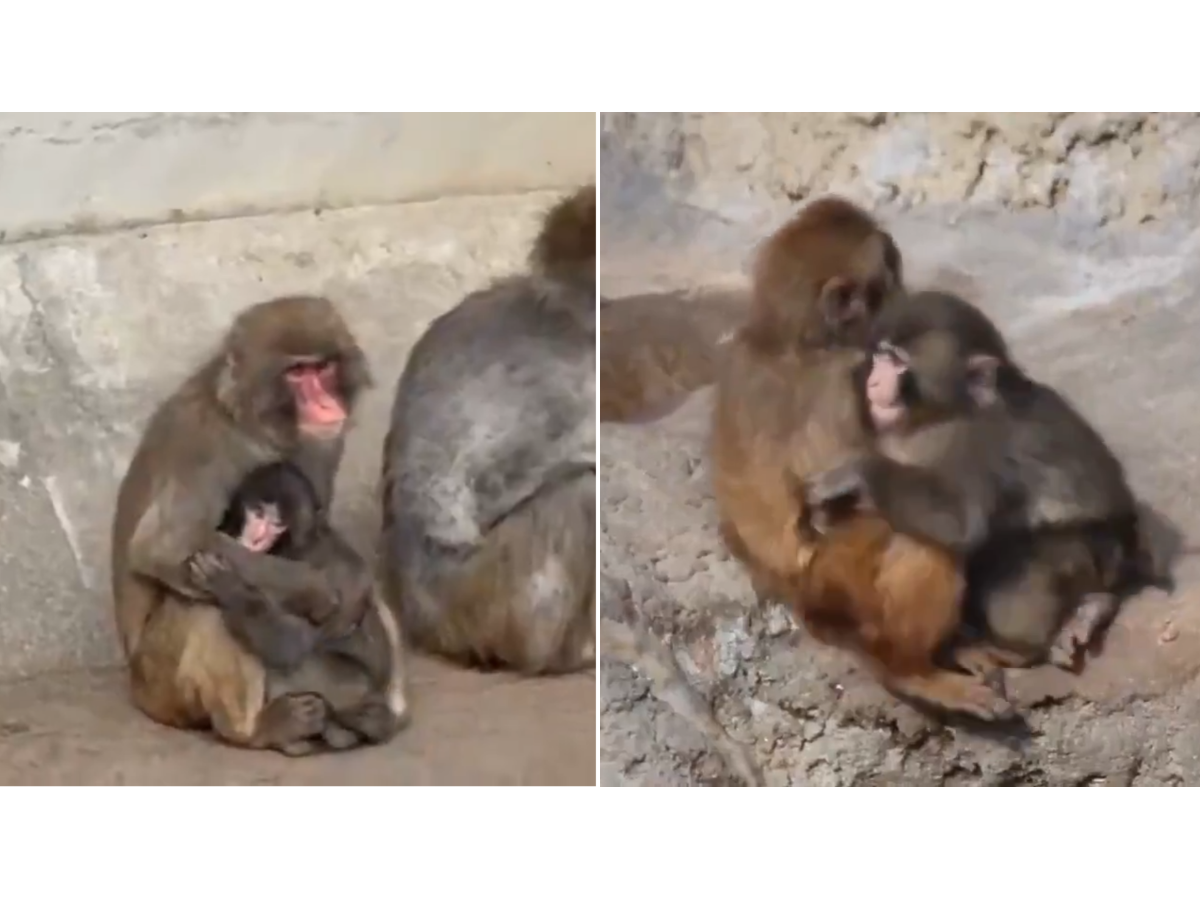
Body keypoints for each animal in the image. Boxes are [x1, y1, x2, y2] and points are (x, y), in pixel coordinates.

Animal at [111, 294, 408, 756]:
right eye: (297, 373)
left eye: (323, 368)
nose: (326, 405)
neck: (250, 423)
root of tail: (135, 685)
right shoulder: (204, 448)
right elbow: (167, 545)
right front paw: (316, 588)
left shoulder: (320, 443)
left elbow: (322, 525)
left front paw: (354, 582)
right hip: (159, 684)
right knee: (202, 604)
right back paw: (258, 730)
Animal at [711, 197, 1015, 723]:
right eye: (885, 279)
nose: (903, 297)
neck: (791, 340)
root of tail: (798, 598)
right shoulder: (847, 378)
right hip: (840, 585)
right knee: (919, 541)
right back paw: (912, 669)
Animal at [802, 289, 1159, 682]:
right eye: (882, 355)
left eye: (898, 362)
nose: (874, 382)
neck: (940, 413)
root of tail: (1126, 552)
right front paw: (830, 512)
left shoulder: (972, 443)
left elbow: (962, 521)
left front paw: (855, 473)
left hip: (1088, 554)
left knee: (1018, 570)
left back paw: (1029, 641)